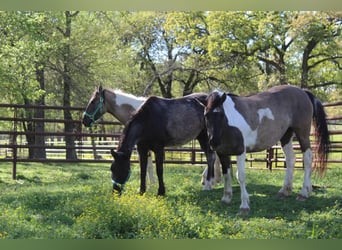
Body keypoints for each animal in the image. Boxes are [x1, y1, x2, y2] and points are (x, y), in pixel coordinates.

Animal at [199, 85, 330, 214]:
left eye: (221, 114)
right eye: (206, 116)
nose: (213, 142)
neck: (228, 124)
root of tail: (302, 91)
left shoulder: (240, 151)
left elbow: (240, 176)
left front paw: (244, 206)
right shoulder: (222, 153)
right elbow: (226, 175)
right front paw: (226, 198)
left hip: (302, 133)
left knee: (307, 158)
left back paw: (304, 193)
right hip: (286, 136)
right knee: (290, 159)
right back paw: (284, 191)